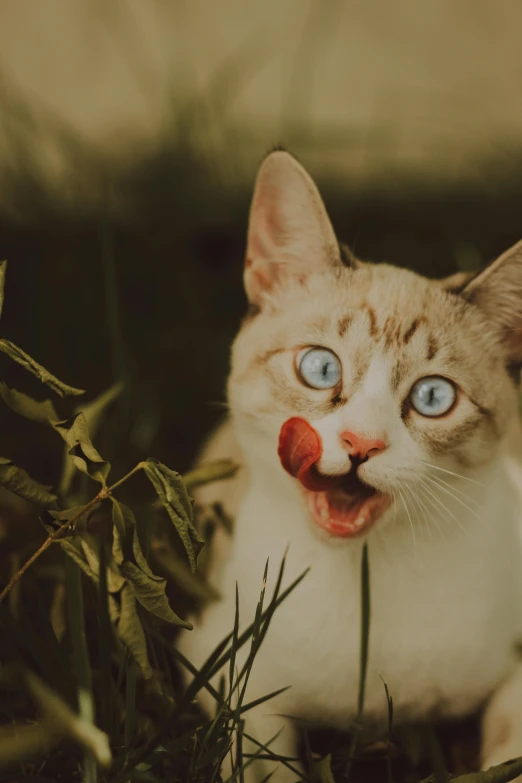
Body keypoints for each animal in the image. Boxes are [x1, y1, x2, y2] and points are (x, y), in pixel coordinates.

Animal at [176, 150, 522, 780]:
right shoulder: (221, 669)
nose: (362, 443)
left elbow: (510, 745)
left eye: (433, 397)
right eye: (320, 368)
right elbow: (256, 756)